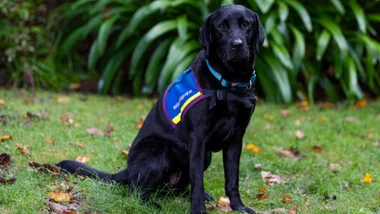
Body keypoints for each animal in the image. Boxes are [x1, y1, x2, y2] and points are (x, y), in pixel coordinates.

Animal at [57, 5, 264, 214]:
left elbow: (232, 179)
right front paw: (198, 209)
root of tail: (128, 170)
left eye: (245, 24)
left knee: (176, 188)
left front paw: (238, 207)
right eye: (221, 26)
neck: (230, 83)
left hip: (202, 157)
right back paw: (152, 204)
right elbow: (198, 182)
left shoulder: (236, 138)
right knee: (137, 191)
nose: (237, 45)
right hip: (158, 151)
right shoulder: (198, 138)